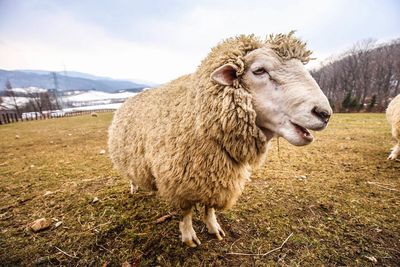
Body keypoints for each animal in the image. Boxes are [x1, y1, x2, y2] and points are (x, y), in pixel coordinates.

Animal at [108, 32, 332, 248]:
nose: (324, 113)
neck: (200, 117)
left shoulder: (216, 177)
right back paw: (134, 188)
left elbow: (209, 207)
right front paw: (189, 237)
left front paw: (213, 227)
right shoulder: (178, 182)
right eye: (259, 70)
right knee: (131, 175)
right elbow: (186, 213)